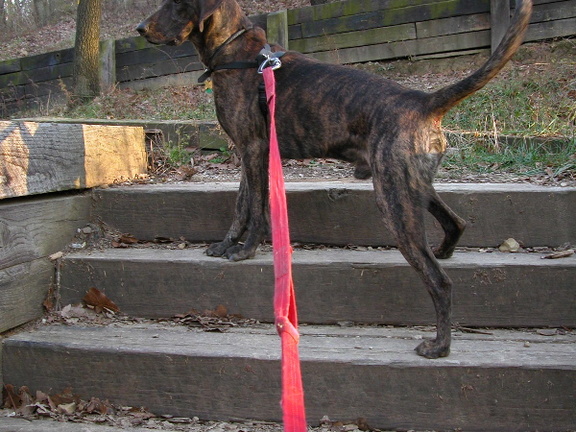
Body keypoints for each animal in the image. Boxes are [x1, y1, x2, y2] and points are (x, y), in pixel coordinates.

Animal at [137, 0, 532, 358]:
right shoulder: (252, 154)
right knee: (456, 222)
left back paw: (440, 345)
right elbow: (241, 205)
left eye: (176, 3)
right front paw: (225, 244)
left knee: (440, 282)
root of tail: (423, 101)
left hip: (393, 198)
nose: (140, 28)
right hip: (412, 185)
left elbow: (258, 209)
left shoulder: (252, 150)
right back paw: (443, 252)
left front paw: (246, 250)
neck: (238, 52)